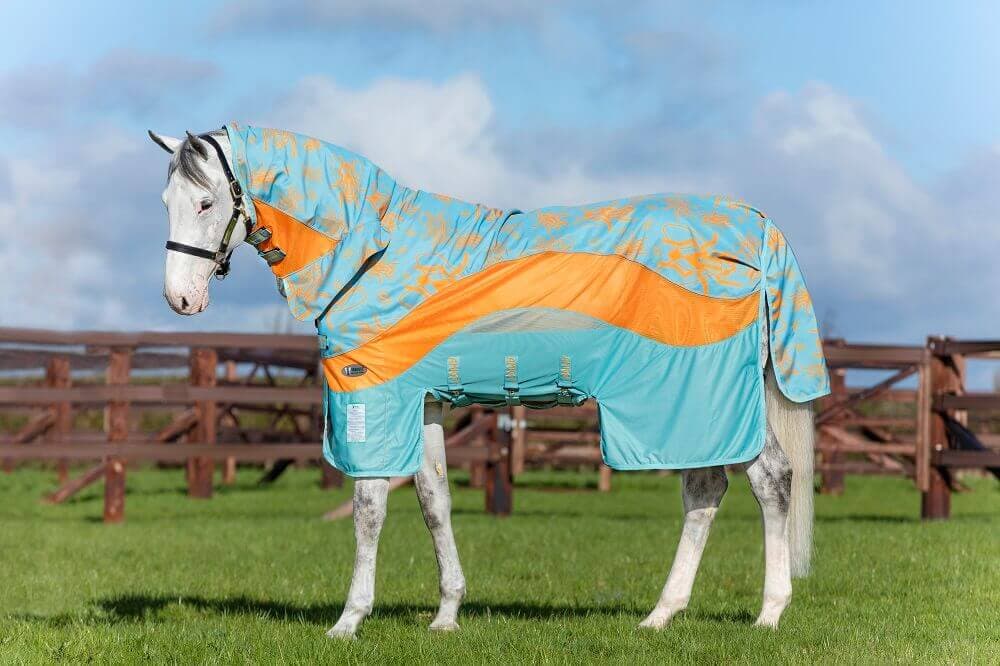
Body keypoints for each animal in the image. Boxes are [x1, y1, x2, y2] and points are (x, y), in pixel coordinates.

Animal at [149, 125, 827, 638]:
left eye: (205, 203)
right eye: (166, 204)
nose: (180, 299)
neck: (372, 255)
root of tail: (755, 226)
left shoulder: (374, 397)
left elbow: (369, 508)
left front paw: (348, 620)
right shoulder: (423, 403)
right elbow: (434, 501)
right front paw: (447, 614)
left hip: (694, 399)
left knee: (766, 480)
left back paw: (768, 614)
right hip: (695, 407)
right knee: (707, 491)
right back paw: (662, 614)